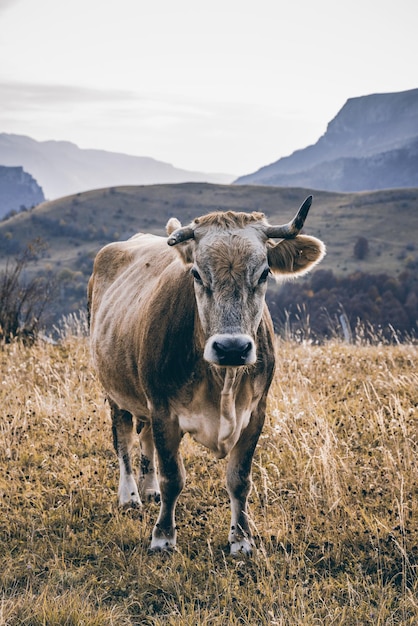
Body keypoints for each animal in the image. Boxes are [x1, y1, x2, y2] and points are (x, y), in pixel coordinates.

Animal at [87, 194, 324, 552]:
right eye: (197, 274)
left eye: (264, 273)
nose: (231, 348)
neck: (222, 380)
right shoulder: (164, 411)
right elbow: (173, 477)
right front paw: (163, 537)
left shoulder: (256, 412)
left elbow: (239, 479)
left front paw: (242, 540)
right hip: (114, 389)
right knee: (123, 439)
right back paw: (130, 496)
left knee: (145, 440)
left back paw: (148, 489)